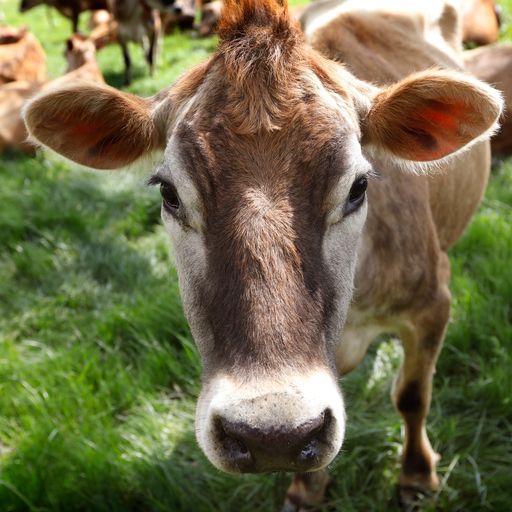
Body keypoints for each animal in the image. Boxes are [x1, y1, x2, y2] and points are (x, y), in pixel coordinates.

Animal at [22, 0, 502, 510]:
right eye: (169, 193)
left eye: (358, 186)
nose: (273, 436)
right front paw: (306, 490)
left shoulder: (434, 302)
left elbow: (412, 395)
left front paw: (416, 476)